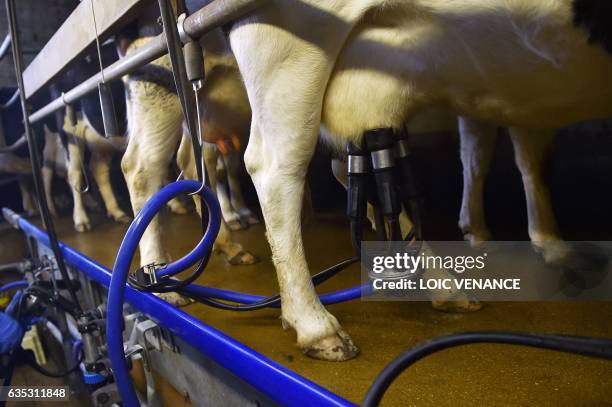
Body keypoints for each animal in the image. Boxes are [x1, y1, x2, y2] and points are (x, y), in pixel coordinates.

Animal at [222, 0, 612, 360]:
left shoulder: (513, 98)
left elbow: (512, 157)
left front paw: (546, 242)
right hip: (288, 49)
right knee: (275, 166)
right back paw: (316, 325)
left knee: (343, 166)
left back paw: (443, 286)